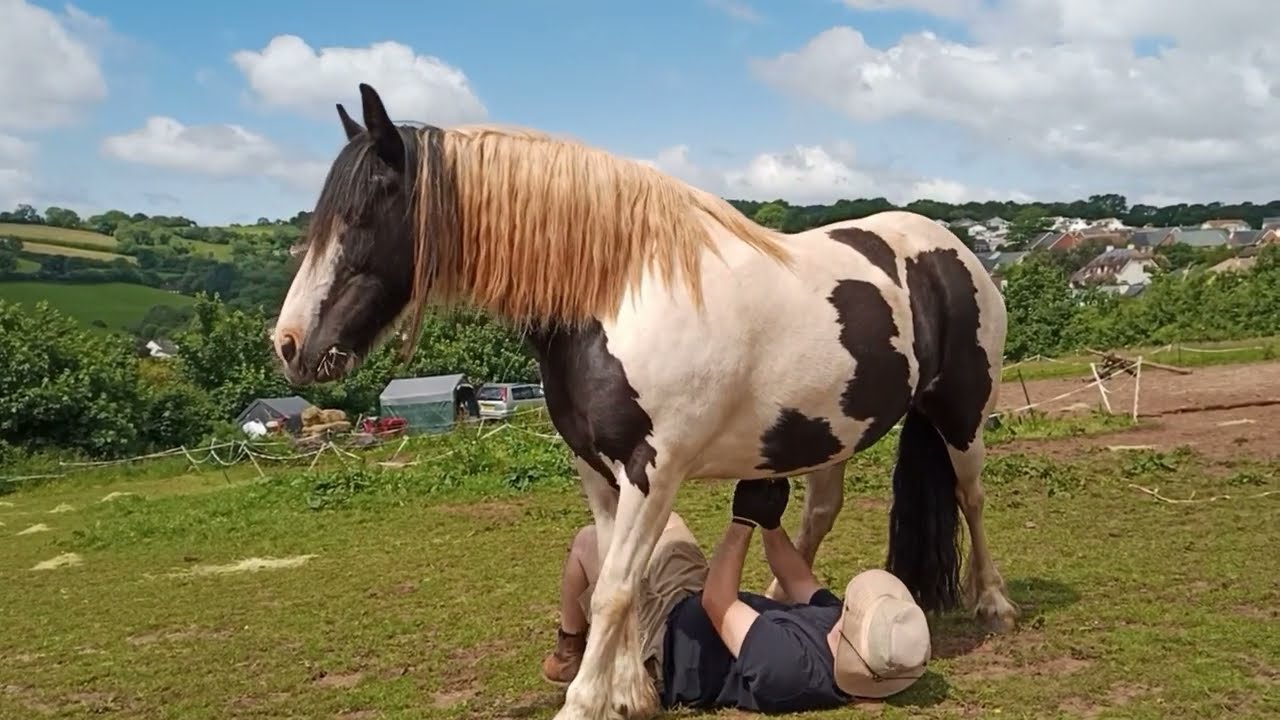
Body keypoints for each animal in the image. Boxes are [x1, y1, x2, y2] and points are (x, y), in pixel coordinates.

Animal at [271, 82, 1019, 720]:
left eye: (360, 215)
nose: (290, 344)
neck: (618, 296)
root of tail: (952, 248)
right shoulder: (599, 476)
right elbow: (615, 578)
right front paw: (629, 693)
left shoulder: (652, 474)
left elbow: (615, 589)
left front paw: (582, 703)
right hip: (831, 430)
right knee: (820, 512)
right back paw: (785, 594)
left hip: (962, 415)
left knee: (972, 496)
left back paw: (994, 601)